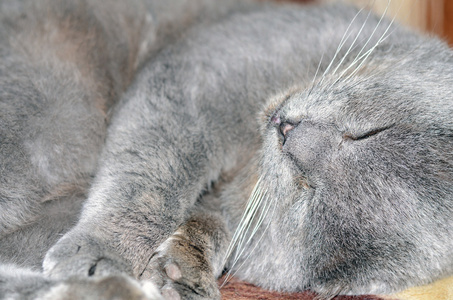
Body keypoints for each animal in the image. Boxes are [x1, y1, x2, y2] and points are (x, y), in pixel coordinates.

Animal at [0, 0, 452, 298]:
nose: (289, 130)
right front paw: (105, 250)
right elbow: (155, 173)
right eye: (369, 132)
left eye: (308, 198)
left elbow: (210, 223)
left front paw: (181, 271)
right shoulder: (202, 73)